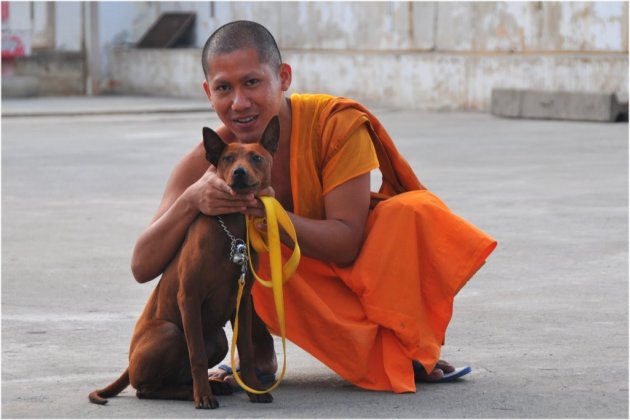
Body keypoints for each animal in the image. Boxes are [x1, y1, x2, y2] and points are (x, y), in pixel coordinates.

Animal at [87, 116, 280, 408]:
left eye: (256, 157)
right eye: (227, 159)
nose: (239, 173)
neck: (231, 227)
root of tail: (130, 366)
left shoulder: (242, 302)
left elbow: (245, 351)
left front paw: (254, 390)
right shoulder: (188, 296)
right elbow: (196, 356)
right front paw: (204, 397)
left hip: (217, 338)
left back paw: (209, 387)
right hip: (171, 332)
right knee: (147, 389)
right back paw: (195, 392)